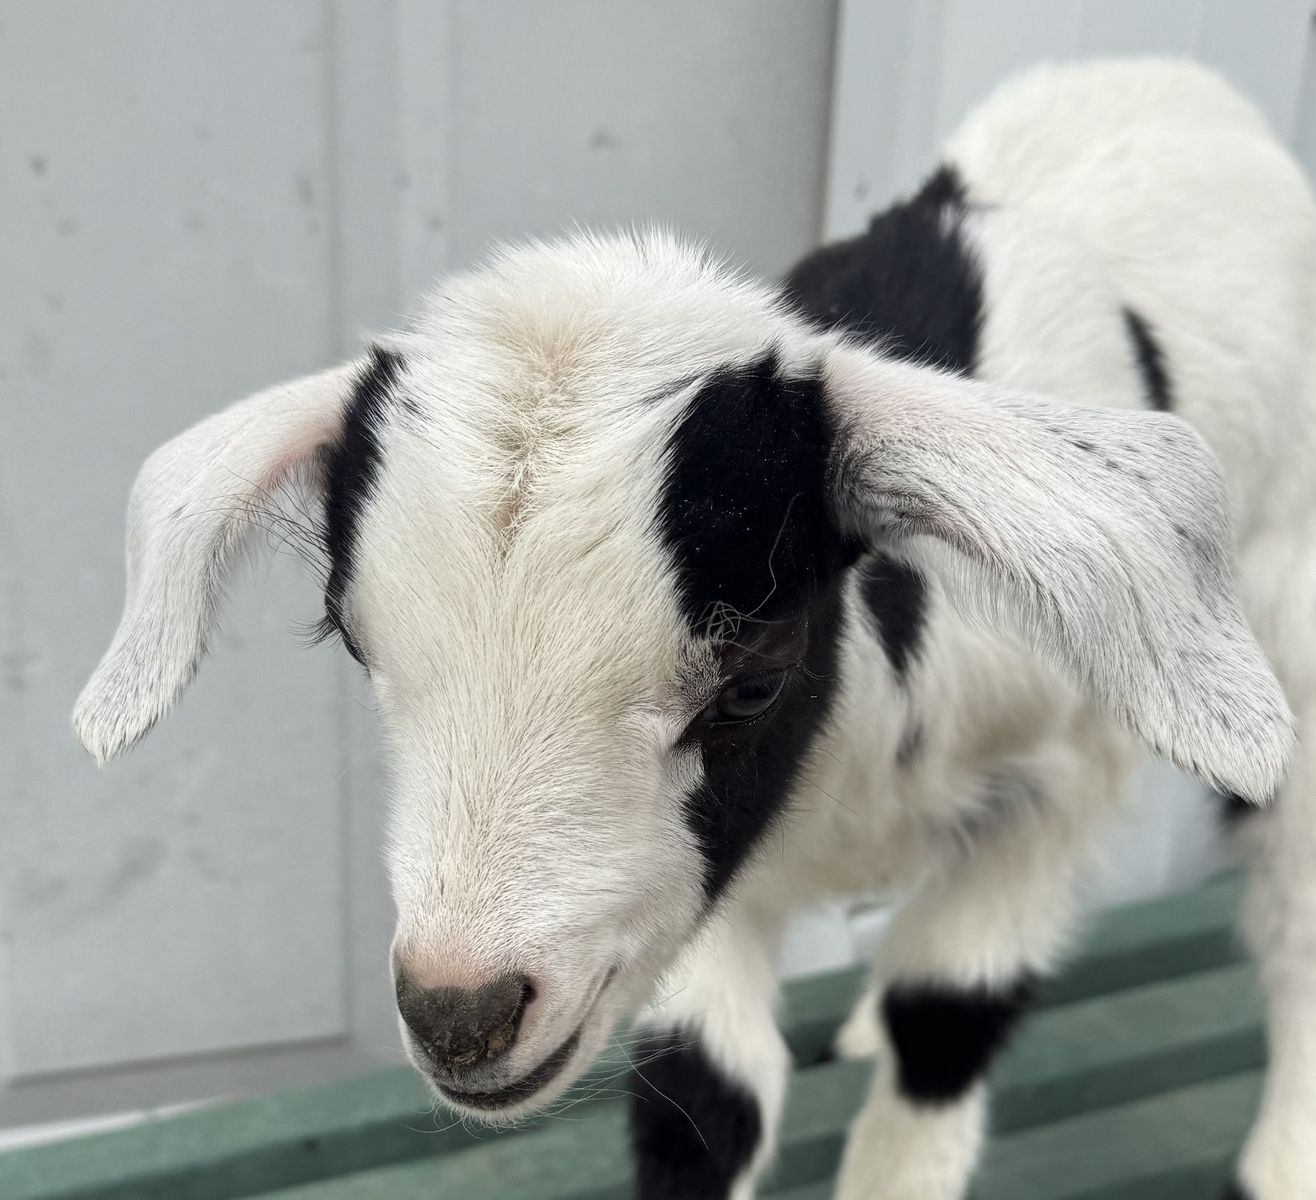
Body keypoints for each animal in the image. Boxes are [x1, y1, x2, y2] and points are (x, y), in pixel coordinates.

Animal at [74, 58, 1316, 1199]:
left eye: (752, 676)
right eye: (356, 646)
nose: (459, 1015)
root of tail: (1167, 77)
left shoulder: (1054, 786)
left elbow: (941, 1021)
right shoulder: (689, 890)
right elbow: (704, 1095)